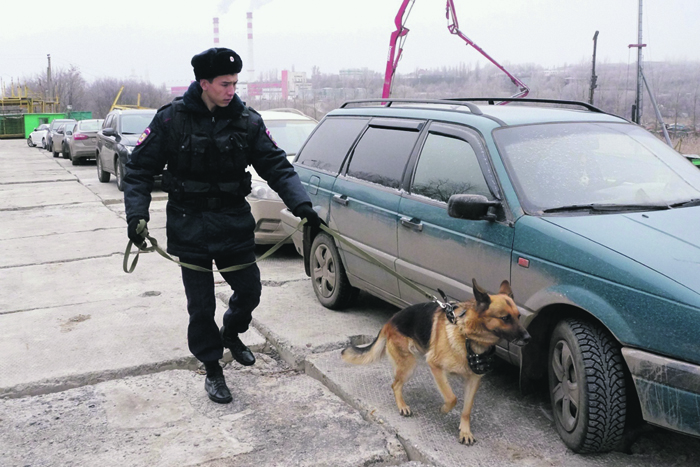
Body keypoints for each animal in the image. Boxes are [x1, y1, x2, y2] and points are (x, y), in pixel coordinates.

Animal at [340, 280, 532, 444]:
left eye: (518, 316)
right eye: (505, 318)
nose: (528, 338)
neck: (468, 336)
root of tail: (390, 321)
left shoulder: (473, 380)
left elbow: (467, 409)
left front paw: (465, 432)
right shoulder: (435, 366)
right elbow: (452, 397)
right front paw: (444, 410)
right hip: (409, 365)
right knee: (395, 385)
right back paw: (402, 406)